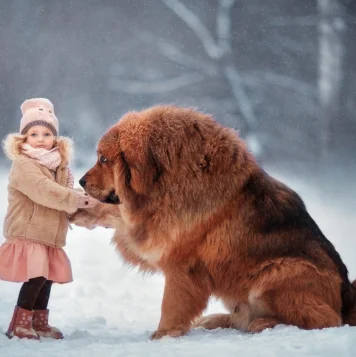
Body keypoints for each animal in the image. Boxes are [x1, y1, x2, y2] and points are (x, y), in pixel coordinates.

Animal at [72, 104, 356, 338]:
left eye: (104, 159)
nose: (81, 181)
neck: (166, 180)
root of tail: (348, 299)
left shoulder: (178, 260)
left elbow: (172, 304)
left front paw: (164, 334)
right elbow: (115, 212)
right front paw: (81, 209)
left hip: (277, 273)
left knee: (325, 320)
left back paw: (264, 323)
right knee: (242, 317)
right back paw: (218, 320)